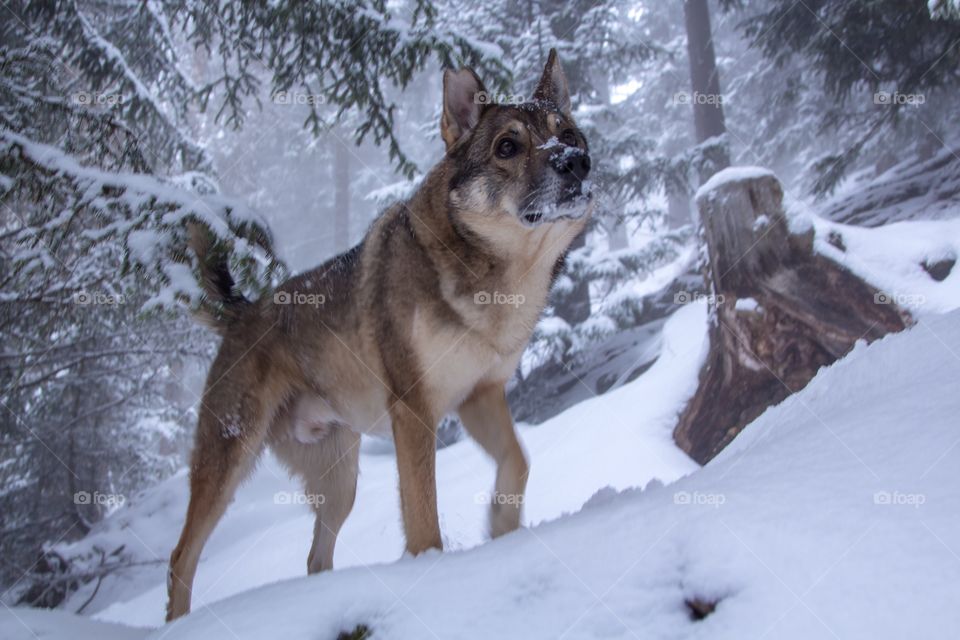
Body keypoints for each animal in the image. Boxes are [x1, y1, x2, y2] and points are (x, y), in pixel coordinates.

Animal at [166, 50, 588, 620]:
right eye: (507, 146)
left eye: (566, 133)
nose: (576, 162)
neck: (494, 276)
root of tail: (242, 311)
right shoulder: (414, 411)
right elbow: (424, 518)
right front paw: (433, 572)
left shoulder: (479, 396)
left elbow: (518, 461)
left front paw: (501, 525)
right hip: (228, 463)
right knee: (181, 557)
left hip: (340, 484)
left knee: (314, 558)